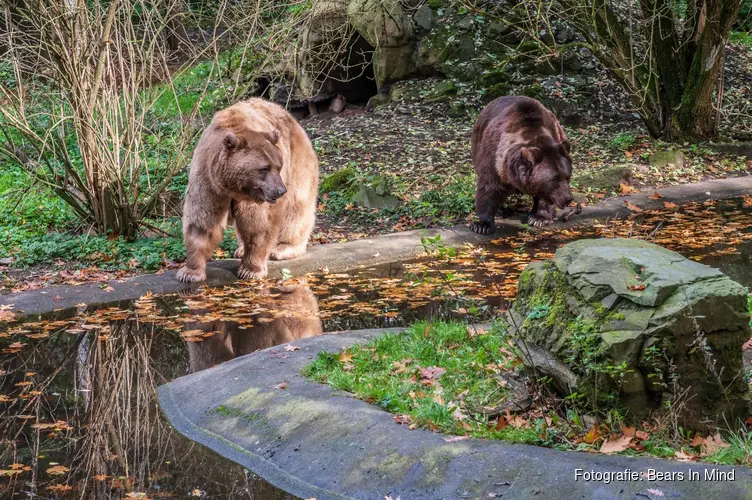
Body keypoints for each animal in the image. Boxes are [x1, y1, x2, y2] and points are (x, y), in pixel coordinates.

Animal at [177, 98, 319, 283]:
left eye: (278, 166)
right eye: (264, 168)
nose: (280, 191)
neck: (232, 187)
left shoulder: (256, 196)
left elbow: (258, 224)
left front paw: (250, 269)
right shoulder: (209, 183)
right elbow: (202, 223)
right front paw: (189, 273)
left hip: (298, 163)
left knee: (298, 208)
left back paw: (283, 249)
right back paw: (241, 249)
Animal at [469, 96, 573, 235]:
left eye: (567, 176)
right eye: (554, 179)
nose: (568, 198)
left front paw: (539, 218)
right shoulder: (494, 157)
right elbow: (489, 186)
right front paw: (482, 225)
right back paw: (500, 212)